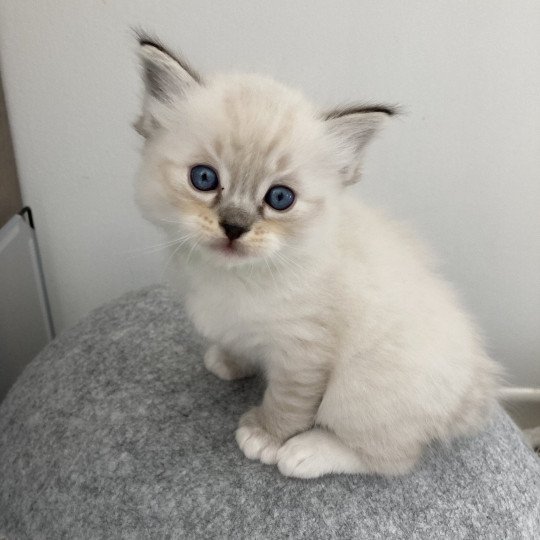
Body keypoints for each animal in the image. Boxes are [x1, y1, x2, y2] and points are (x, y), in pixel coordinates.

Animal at [136, 37, 502, 476]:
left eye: (279, 198)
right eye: (204, 178)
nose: (234, 227)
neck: (234, 276)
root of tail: (470, 391)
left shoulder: (304, 352)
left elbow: (288, 401)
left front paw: (266, 436)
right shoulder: (242, 326)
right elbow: (237, 340)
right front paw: (228, 361)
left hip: (359, 390)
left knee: (391, 458)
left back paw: (307, 453)